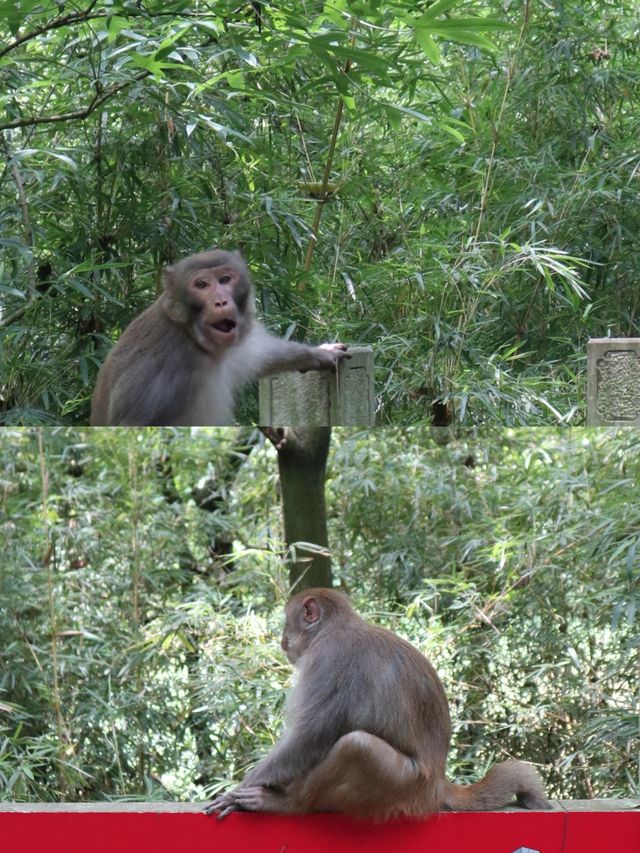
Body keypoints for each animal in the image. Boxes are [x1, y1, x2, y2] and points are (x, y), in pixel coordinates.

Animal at [89, 251, 350, 426]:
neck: (192, 336)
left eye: (225, 280)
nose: (221, 301)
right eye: (201, 285)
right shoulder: (164, 372)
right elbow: (131, 424)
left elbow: (263, 355)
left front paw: (320, 353)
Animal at [206, 584, 552, 820]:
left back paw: (289, 804)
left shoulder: (326, 660)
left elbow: (309, 737)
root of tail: (438, 786)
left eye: (286, 623)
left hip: (403, 789)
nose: (282, 641)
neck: (335, 627)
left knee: (356, 745)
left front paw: (240, 790)